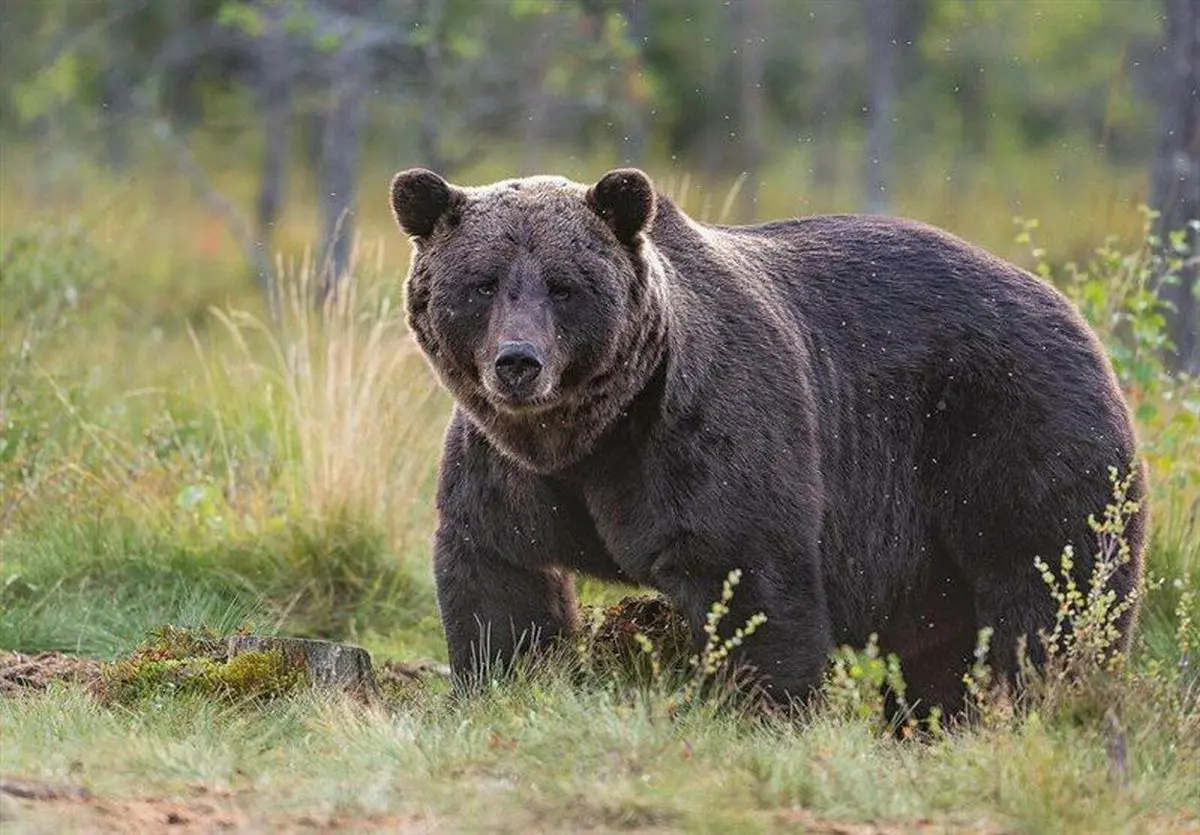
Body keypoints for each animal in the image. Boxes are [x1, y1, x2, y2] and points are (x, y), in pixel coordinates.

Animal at [388, 166, 1147, 715]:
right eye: (482, 283)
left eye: (564, 286)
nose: (518, 362)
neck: (589, 436)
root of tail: (1073, 313)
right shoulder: (507, 469)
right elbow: (500, 581)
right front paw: (501, 682)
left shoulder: (701, 433)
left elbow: (751, 580)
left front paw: (763, 709)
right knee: (946, 644)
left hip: (1013, 430)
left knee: (1053, 591)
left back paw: (1047, 702)